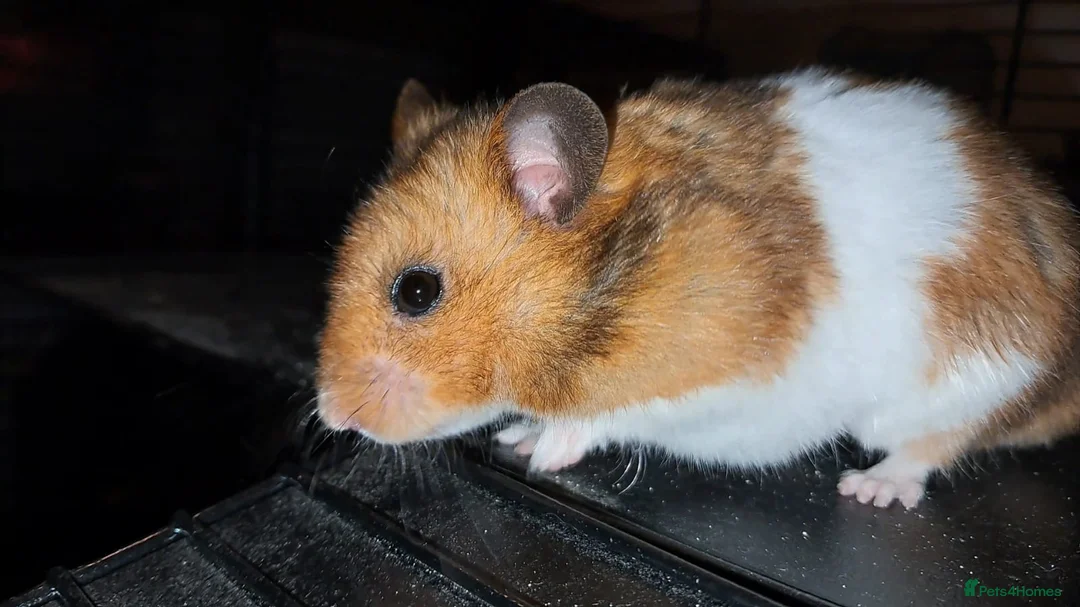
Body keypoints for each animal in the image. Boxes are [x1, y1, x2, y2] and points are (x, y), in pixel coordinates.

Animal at [315, 69, 1080, 510]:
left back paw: (870, 488)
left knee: (935, 445)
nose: (333, 417)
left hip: (970, 376)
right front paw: (518, 432)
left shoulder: (726, 370)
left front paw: (543, 446)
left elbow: (617, 412)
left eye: (416, 291)